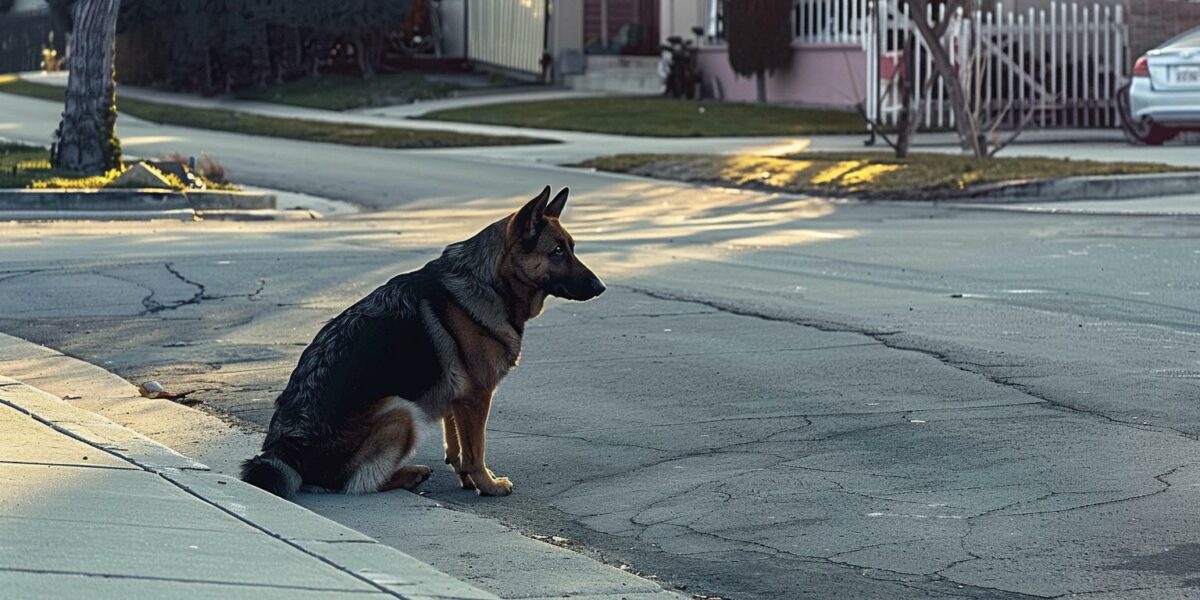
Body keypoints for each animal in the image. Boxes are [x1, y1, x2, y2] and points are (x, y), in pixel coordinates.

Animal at [240, 187, 604, 496]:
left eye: (572, 248)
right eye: (557, 251)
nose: (600, 286)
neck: (488, 281)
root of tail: (283, 451)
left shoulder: (457, 400)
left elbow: (457, 446)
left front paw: (466, 479)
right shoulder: (477, 397)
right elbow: (476, 449)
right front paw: (487, 485)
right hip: (401, 410)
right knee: (356, 482)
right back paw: (410, 474)